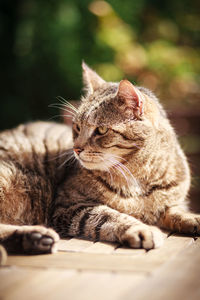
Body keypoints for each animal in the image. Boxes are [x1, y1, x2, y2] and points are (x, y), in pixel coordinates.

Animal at [0, 62, 200, 255]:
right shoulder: (70, 206)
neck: (138, 178)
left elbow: (175, 210)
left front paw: (193, 218)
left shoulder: (170, 203)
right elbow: (108, 216)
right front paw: (142, 229)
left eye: (101, 130)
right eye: (77, 127)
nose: (76, 148)